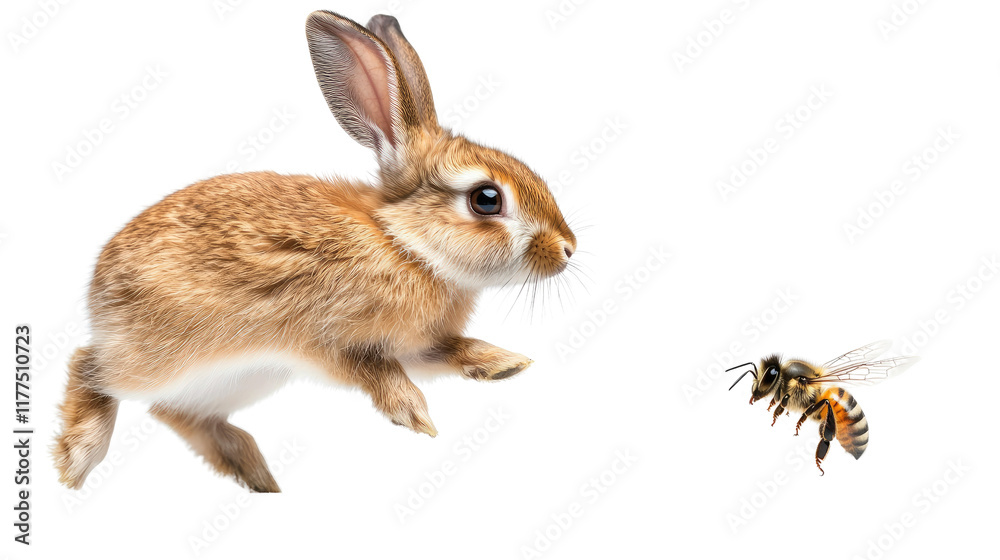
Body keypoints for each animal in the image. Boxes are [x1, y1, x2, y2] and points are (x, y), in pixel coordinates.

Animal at [53, 10, 576, 493]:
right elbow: (373, 372)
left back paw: (255, 474)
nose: (568, 249)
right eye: (486, 199)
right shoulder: (324, 337)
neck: (404, 244)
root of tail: (98, 297)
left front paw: (502, 363)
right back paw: (75, 463)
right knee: (89, 367)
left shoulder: (417, 345)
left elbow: (444, 353)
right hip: (161, 356)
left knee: (174, 413)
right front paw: (413, 413)